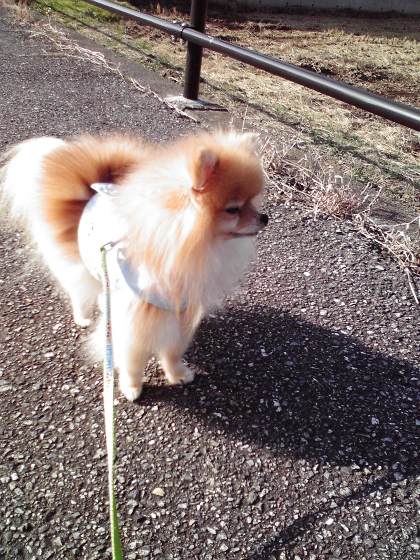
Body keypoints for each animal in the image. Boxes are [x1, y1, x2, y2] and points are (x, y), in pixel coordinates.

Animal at [1, 131, 268, 400]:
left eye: (253, 201)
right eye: (233, 209)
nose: (265, 218)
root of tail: (91, 191)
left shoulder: (180, 311)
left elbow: (173, 350)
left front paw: (177, 374)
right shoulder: (136, 318)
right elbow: (133, 358)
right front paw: (131, 386)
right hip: (80, 264)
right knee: (78, 290)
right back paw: (83, 317)